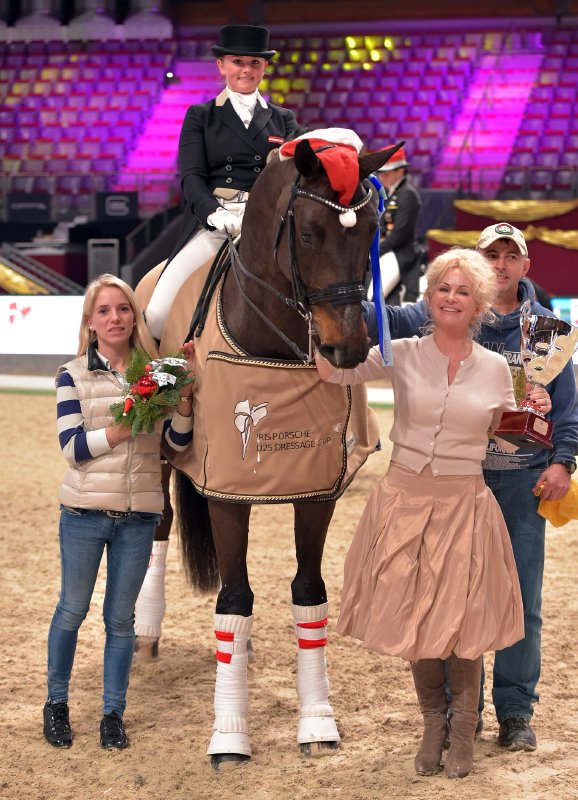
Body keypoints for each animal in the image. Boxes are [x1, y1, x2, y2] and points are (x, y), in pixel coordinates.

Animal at [138, 134, 402, 769]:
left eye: (369, 233)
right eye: (307, 233)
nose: (347, 348)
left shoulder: (315, 489)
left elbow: (309, 596)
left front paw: (317, 721)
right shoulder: (226, 491)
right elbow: (233, 597)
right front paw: (229, 735)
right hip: (156, 450)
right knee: (159, 522)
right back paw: (146, 633)